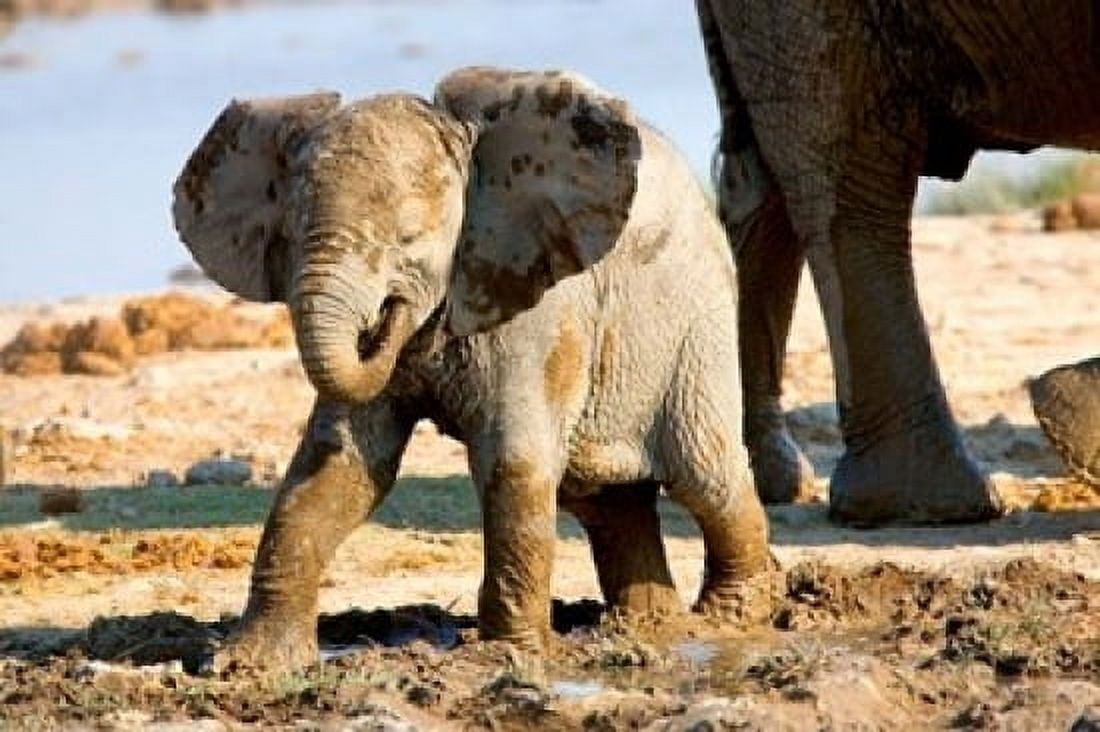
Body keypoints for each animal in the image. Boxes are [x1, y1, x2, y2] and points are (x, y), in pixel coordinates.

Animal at [172, 66, 770, 669]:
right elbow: (336, 465)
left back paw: (728, 619)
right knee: (605, 500)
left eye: (409, 238)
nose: (385, 319)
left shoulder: (533, 303)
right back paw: (648, 626)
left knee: (705, 475)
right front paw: (247, 663)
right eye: (290, 235)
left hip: (698, 327)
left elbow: (512, 461)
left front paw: (505, 657)